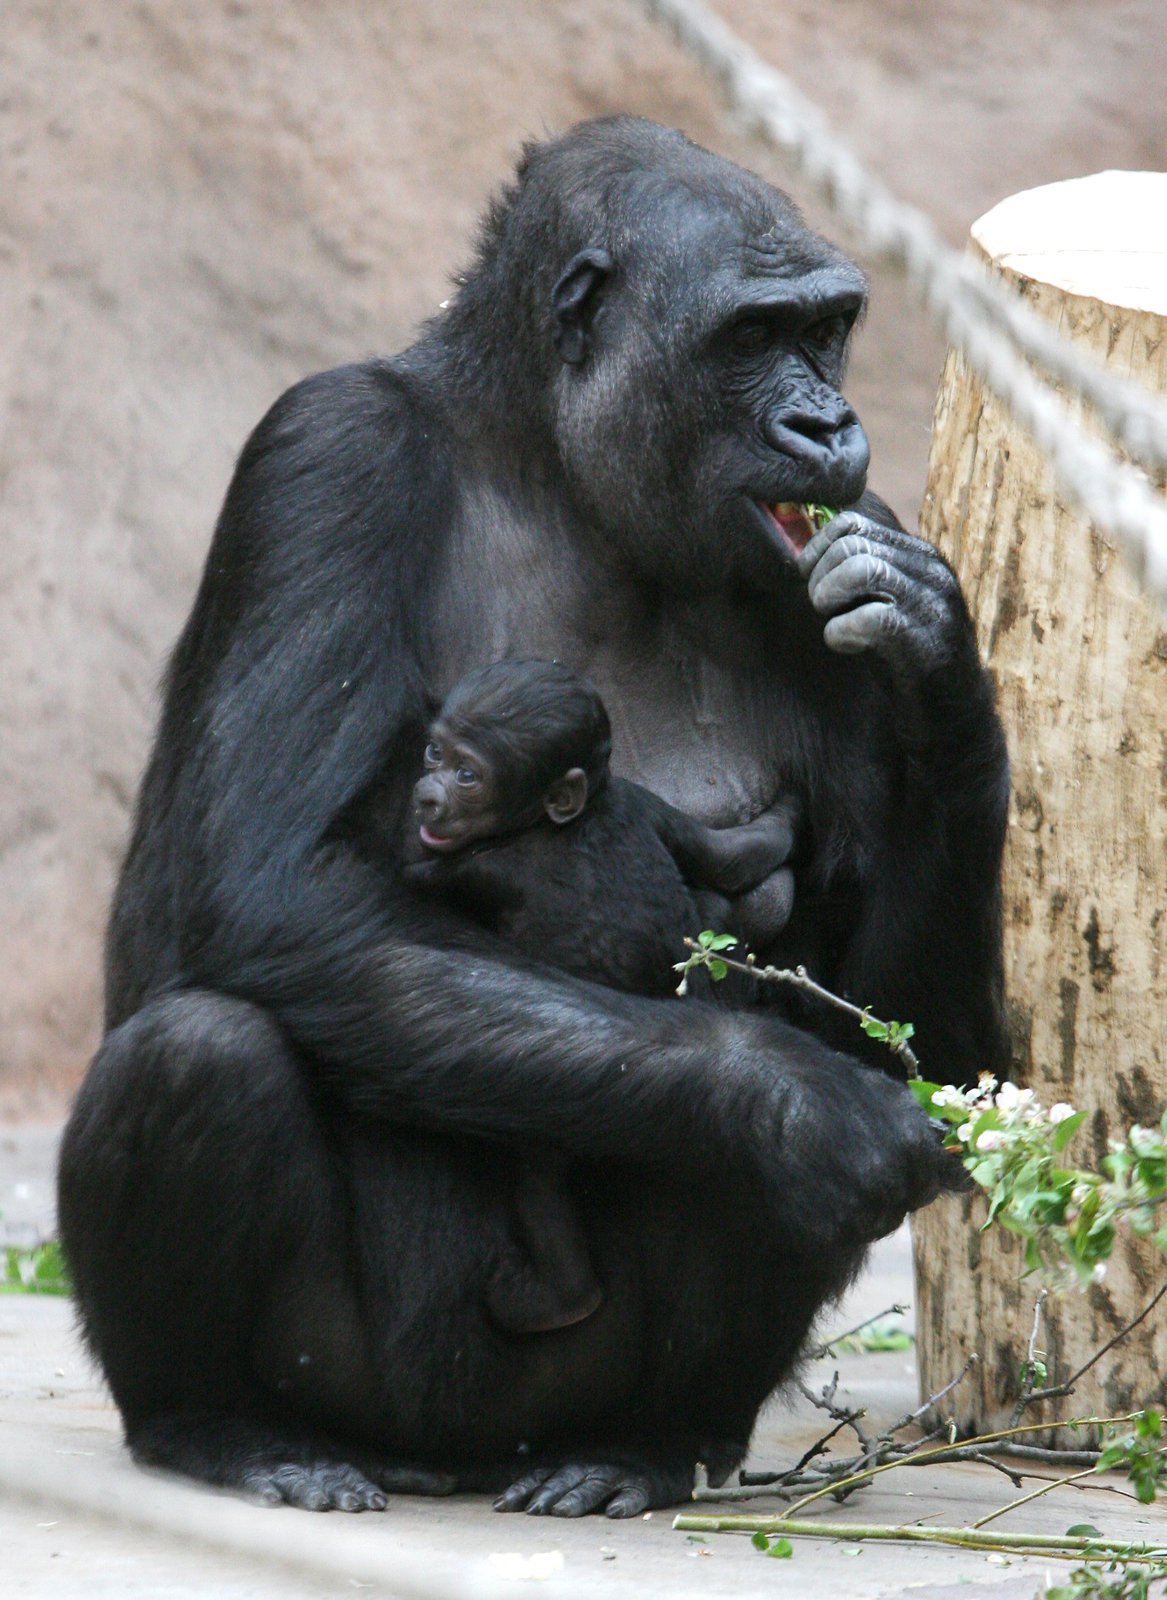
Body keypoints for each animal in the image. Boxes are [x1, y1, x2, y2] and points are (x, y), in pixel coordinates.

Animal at [405, 659, 797, 1337]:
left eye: (467, 775)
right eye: (435, 751)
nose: (430, 791)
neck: (563, 819)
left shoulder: (481, 865)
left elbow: (411, 877)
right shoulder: (648, 806)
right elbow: (729, 855)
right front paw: (790, 814)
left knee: (539, 1175)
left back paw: (561, 1297)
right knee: (717, 910)